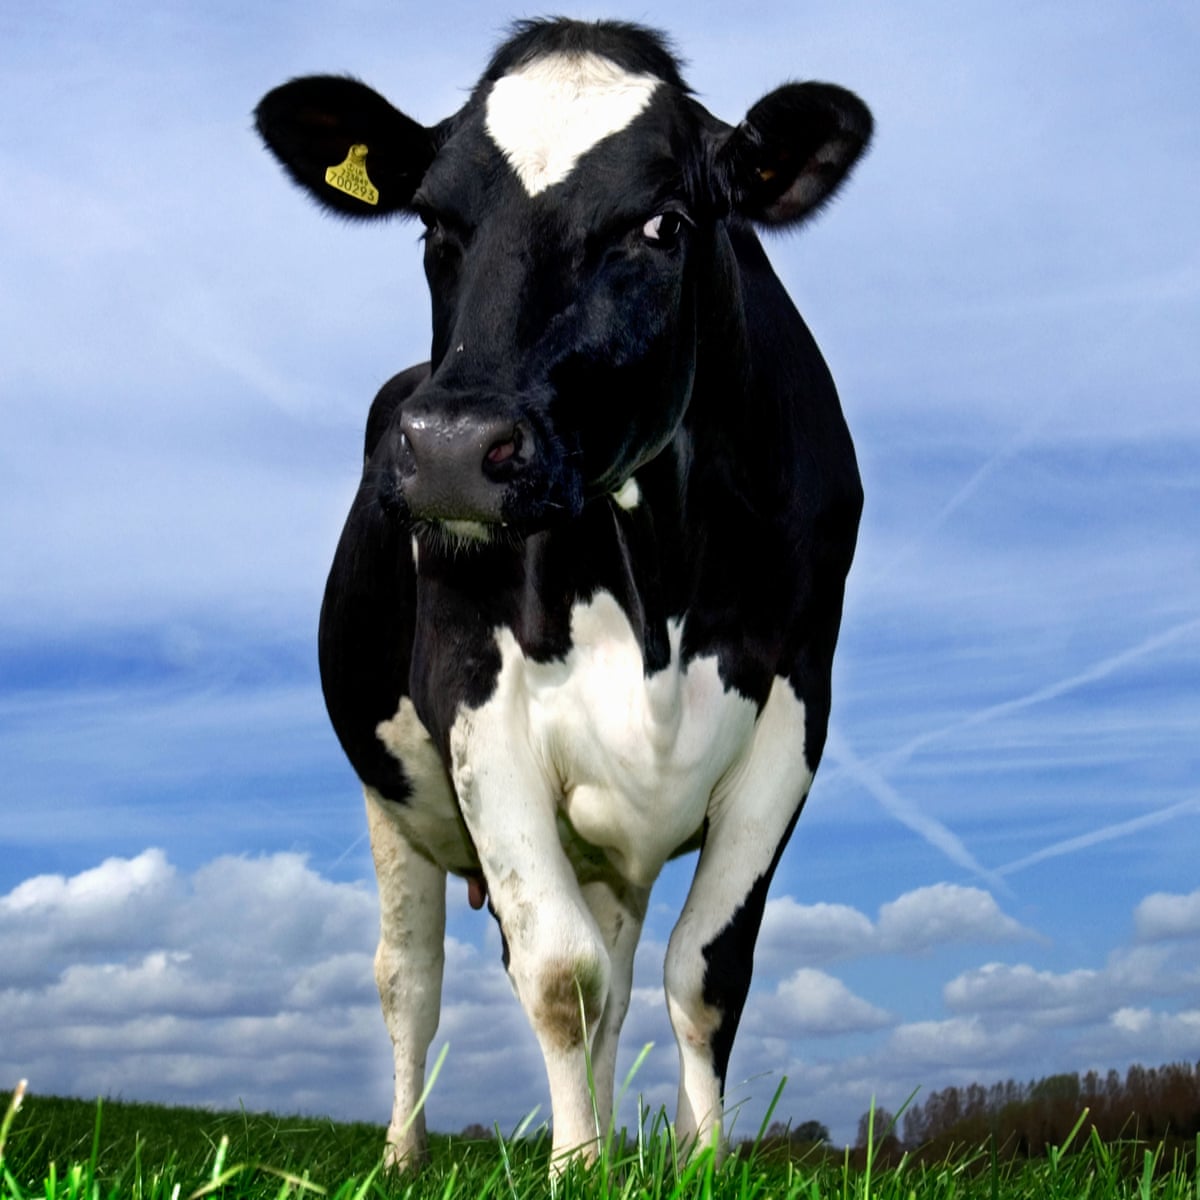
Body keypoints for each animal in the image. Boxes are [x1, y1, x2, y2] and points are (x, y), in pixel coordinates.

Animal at [255, 17, 870, 1171]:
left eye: (663, 222)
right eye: (433, 222)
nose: (454, 449)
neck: (658, 580)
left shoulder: (794, 706)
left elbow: (703, 976)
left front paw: (695, 1166)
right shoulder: (473, 699)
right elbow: (557, 976)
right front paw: (577, 1168)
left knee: (624, 977)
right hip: (392, 801)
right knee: (409, 982)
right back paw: (404, 1155)